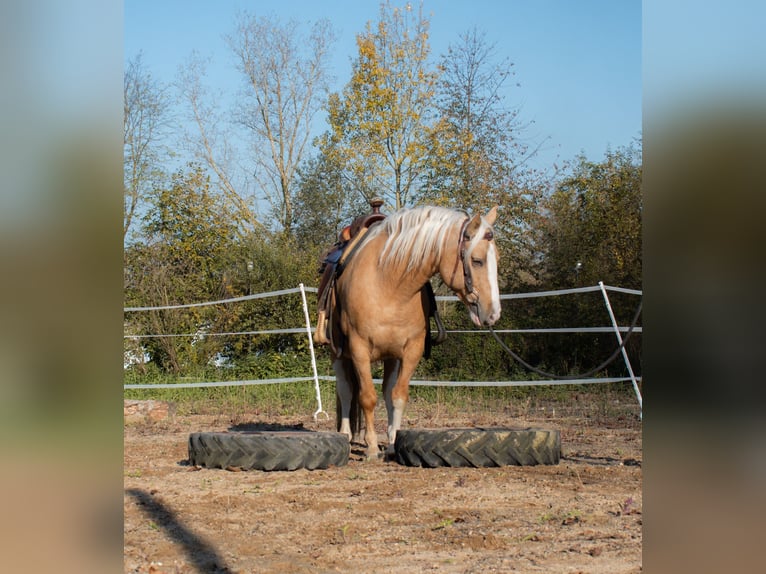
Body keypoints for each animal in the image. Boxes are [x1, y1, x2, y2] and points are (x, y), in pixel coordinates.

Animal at [332, 205, 504, 462]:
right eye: (477, 260)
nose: (493, 313)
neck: (389, 285)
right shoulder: (358, 348)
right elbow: (367, 397)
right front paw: (372, 448)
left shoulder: (411, 349)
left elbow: (398, 396)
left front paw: (393, 443)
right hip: (338, 354)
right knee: (345, 390)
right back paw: (345, 434)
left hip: (391, 357)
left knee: (386, 391)